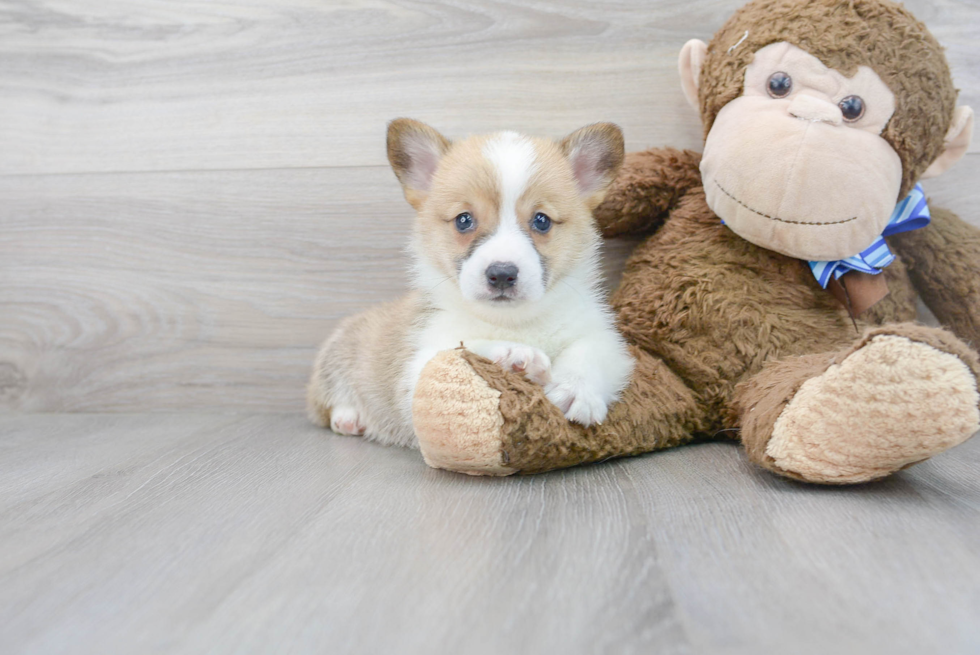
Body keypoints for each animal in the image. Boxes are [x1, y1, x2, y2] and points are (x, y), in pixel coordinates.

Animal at [306, 120, 636, 448]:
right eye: (464, 220)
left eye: (541, 221)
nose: (502, 274)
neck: (513, 321)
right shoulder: (421, 367)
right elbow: (462, 348)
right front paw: (513, 355)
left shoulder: (603, 339)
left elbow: (589, 354)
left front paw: (576, 390)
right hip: (337, 362)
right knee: (326, 405)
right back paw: (350, 418)